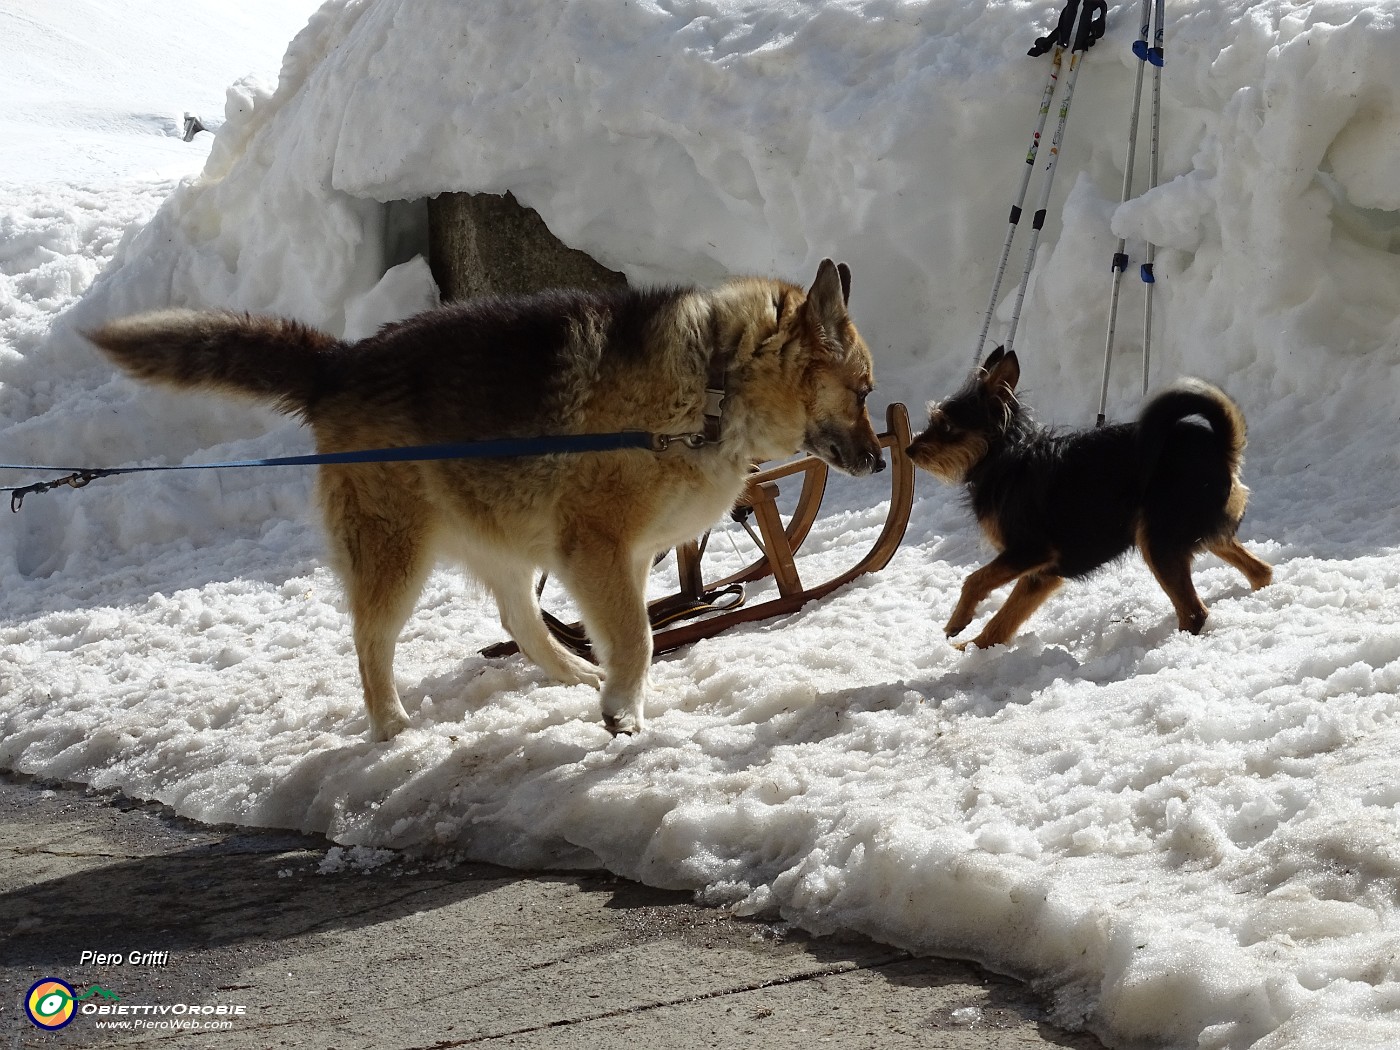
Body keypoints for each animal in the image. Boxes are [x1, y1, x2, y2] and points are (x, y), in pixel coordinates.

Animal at [87, 261, 879, 739]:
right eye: (865, 390)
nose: (878, 458)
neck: (715, 380)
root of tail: (340, 365)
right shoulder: (596, 546)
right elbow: (639, 635)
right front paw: (624, 712)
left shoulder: (610, 556)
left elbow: (629, 630)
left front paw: (615, 692)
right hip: (397, 552)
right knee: (371, 640)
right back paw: (391, 725)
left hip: (505, 537)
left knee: (519, 620)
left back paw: (575, 675)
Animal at [901, 350, 1276, 649]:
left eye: (946, 426)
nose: (909, 450)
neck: (1005, 457)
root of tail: (1221, 448)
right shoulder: (1041, 574)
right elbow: (1004, 620)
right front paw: (974, 651)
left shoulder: (1030, 551)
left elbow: (974, 580)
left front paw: (957, 623)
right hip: (1196, 532)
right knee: (1260, 571)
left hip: (1159, 540)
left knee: (1195, 612)